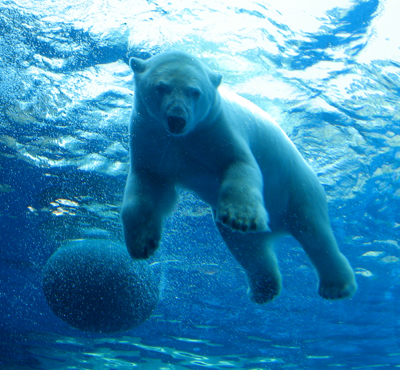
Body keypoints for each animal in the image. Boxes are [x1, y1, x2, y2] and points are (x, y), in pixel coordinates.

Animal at [120, 49, 358, 304]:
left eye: (195, 92)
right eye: (161, 87)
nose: (177, 119)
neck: (184, 137)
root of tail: (278, 227)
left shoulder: (216, 129)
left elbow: (239, 165)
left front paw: (241, 218)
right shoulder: (152, 139)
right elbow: (148, 189)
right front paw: (142, 244)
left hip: (299, 188)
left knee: (316, 235)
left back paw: (336, 286)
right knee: (248, 249)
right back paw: (264, 289)